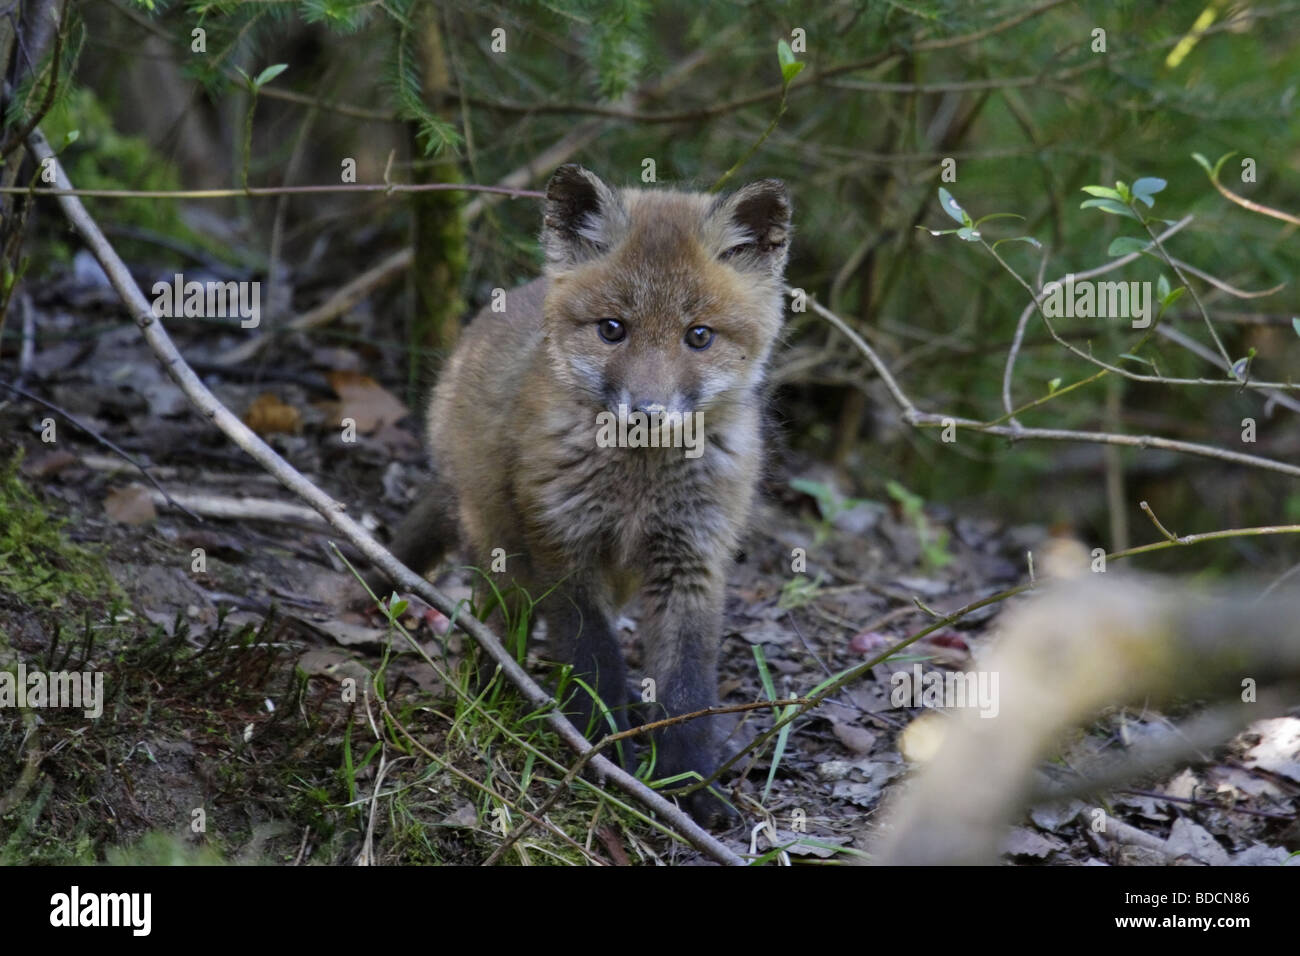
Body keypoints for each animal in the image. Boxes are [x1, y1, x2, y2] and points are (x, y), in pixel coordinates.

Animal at [369, 162, 790, 822]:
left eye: (699, 336)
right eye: (612, 329)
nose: (647, 412)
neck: (638, 483)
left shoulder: (692, 560)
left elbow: (688, 692)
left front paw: (690, 784)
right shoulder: (563, 548)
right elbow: (595, 663)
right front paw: (606, 758)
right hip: (500, 549)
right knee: (497, 622)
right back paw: (496, 689)